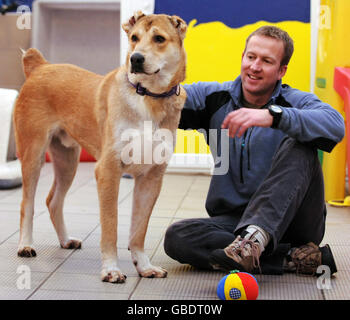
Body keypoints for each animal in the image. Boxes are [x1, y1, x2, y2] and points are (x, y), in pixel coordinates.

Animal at [13, 11, 187, 282]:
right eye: (134, 38)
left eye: (159, 38)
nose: (136, 59)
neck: (148, 97)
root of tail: (40, 67)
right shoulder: (108, 171)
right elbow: (110, 226)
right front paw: (111, 269)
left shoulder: (151, 178)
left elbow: (139, 230)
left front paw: (144, 266)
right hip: (33, 154)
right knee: (27, 204)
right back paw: (25, 245)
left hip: (68, 161)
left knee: (53, 201)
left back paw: (65, 240)